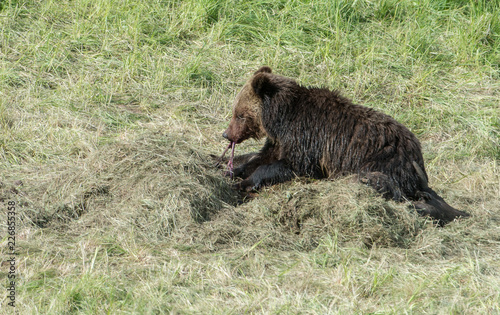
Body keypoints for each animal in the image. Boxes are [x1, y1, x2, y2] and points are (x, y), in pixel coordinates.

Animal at [221, 66, 470, 225]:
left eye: (239, 114)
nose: (226, 134)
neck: (281, 119)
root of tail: (416, 151)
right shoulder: (279, 141)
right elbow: (262, 158)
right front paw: (232, 170)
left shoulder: (307, 140)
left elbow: (290, 166)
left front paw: (246, 182)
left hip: (381, 161)